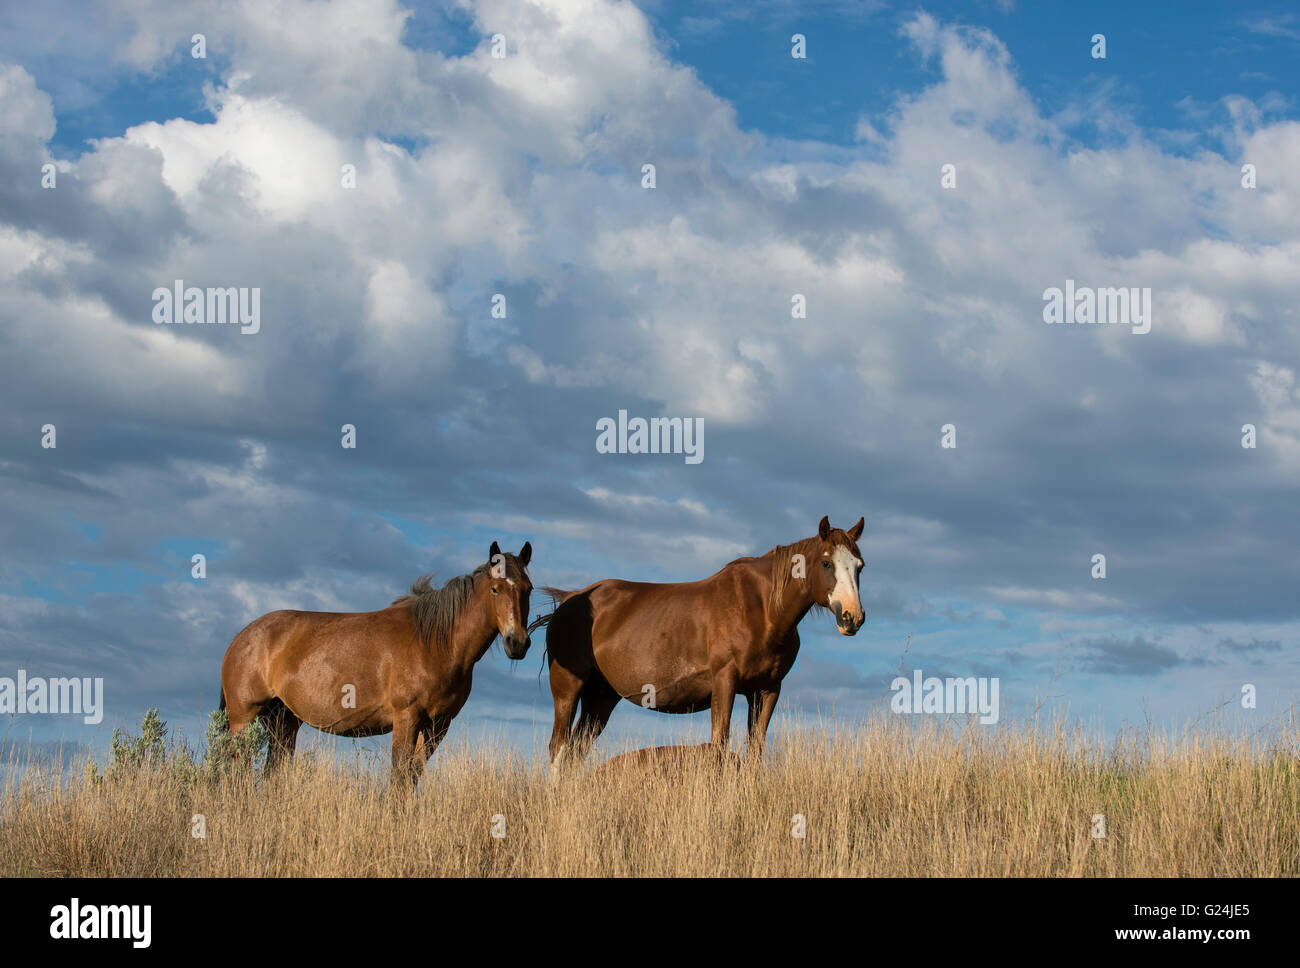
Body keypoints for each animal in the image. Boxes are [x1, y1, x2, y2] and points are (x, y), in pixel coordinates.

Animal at [219, 541, 533, 787]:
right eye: (495, 589)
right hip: (243, 720)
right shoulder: (407, 718)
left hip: (283, 722)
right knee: (236, 770)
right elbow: (399, 777)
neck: (435, 641)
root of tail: (242, 637)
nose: (517, 643)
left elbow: (412, 777)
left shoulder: (438, 726)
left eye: (528, 589)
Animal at [539, 516, 865, 767]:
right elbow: (719, 743)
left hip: (601, 697)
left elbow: (755, 750)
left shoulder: (767, 690)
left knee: (576, 750)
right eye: (826, 563)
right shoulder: (725, 682)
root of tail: (569, 599)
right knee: (558, 747)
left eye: (859, 566)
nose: (852, 617)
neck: (761, 609)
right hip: (568, 689)